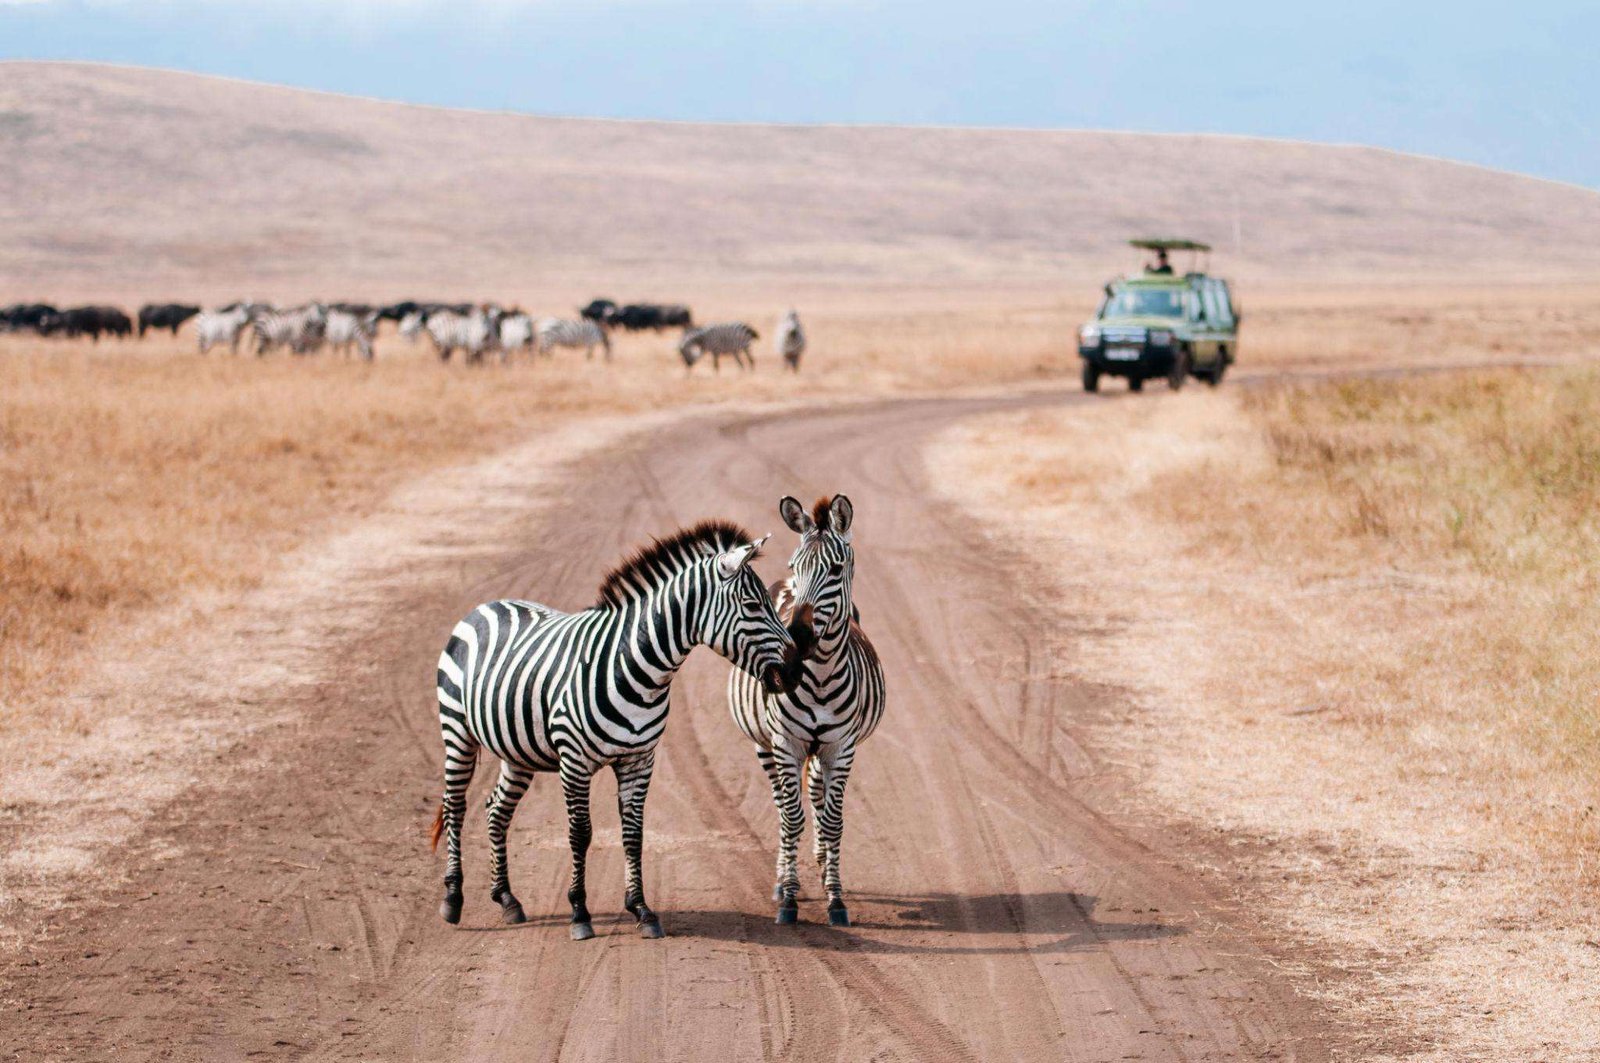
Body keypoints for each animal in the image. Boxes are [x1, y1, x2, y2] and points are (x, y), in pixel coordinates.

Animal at [432, 521, 800, 941]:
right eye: (754, 606)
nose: (796, 669)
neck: (636, 668)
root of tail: (486, 605)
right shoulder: (574, 761)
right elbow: (580, 833)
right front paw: (579, 913)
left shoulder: (639, 760)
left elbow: (633, 833)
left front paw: (642, 909)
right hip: (457, 732)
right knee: (455, 805)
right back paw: (453, 899)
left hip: (518, 751)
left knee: (496, 810)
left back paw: (507, 899)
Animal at [729, 493, 883, 928]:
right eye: (794, 565)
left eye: (835, 569)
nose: (797, 637)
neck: (820, 678)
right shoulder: (786, 743)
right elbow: (791, 817)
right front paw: (789, 898)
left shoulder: (841, 748)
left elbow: (832, 820)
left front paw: (835, 897)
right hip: (765, 745)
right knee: (785, 805)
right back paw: (783, 879)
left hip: (820, 752)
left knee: (815, 795)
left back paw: (819, 860)